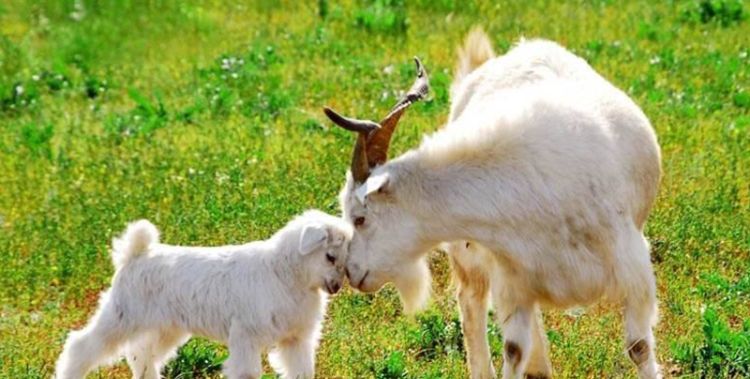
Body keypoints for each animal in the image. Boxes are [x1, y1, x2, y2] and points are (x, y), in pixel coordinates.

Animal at [54, 211, 354, 379]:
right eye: (330, 256)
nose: (337, 286)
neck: (284, 272)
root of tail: (135, 254)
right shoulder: (246, 337)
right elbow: (247, 373)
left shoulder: (295, 340)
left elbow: (302, 372)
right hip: (121, 318)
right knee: (82, 346)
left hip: (165, 329)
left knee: (142, 356)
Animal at [324, 27, 664, 379]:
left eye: (360, 218)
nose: (351, 273)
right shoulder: (512, 278)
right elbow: (513, 349)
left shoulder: (634, 271)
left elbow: (639, 346)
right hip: (471, 256)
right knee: (471, 302)